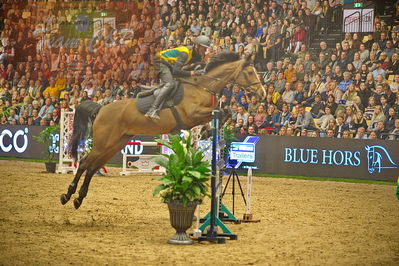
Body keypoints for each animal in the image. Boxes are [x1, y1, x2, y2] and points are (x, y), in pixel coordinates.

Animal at [61, 52, 268, 210]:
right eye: (250, 72)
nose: (263, 94)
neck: (202, 86)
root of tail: (101, 108)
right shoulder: (192, 114)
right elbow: (222, 112)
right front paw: (207, 131)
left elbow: (225, 112)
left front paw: (208, 131)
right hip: (104, 142)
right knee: (85, 163)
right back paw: (68, 194)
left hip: (115, 144)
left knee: (92, 166)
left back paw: (78, 198)